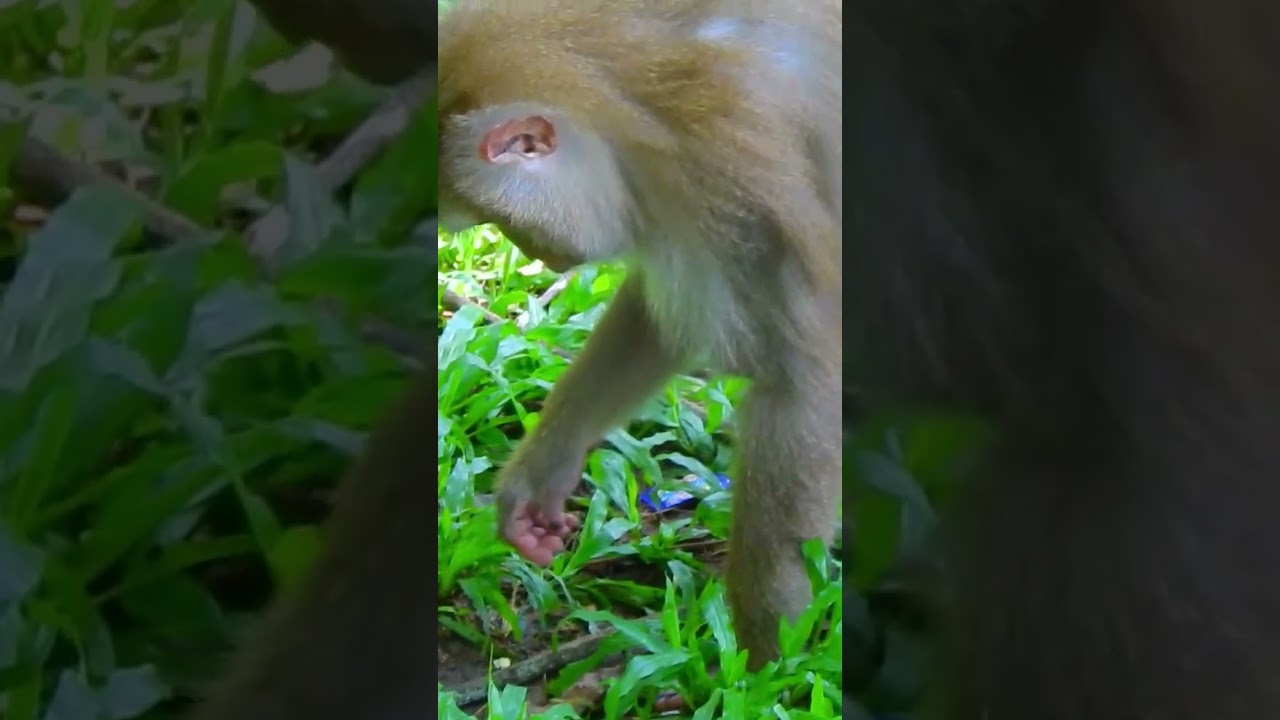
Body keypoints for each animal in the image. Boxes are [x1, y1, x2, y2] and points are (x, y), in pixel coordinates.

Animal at [436, 0, 843, 671]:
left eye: (497, 220)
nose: (540, 257)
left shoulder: (731, 159)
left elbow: (805, 382)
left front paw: (766, 659)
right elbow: (658, 319)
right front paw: (539, 477)